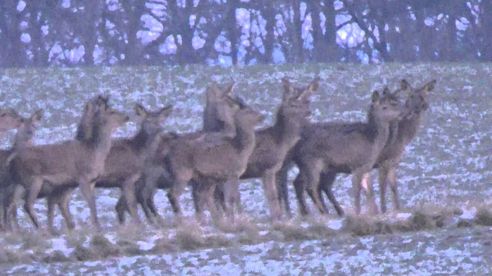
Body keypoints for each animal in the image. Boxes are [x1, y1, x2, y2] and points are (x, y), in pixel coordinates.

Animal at [9, 98, 129, 230]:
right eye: (112, 111)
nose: (127, 116)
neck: (94, 152)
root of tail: (12, 160)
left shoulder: (91, 181)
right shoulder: (82, 178)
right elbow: (91, 204)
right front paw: (97, 227)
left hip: (20, 183)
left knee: (12, 205)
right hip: (34, 179)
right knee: (26, 204)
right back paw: (40, 228)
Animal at [286, 88, 406, 216]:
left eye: (396, 102)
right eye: (385, 107)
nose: (402, 112)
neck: (373, 140)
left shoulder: (365, 168)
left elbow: (366, 190)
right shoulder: (358, 165)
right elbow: (357, 192)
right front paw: (357, 212)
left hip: (309, 166)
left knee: (299, 183)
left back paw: (309, 212)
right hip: (312, 163)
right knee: (311, 187)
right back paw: (324, 212)